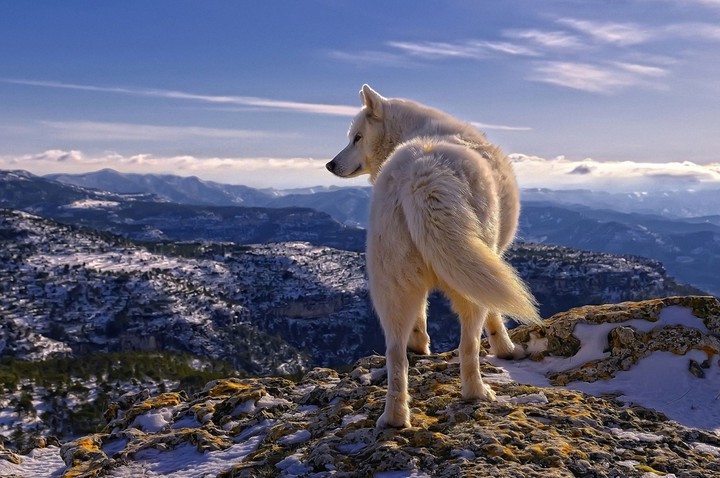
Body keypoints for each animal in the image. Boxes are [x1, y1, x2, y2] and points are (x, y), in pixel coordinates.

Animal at [326, 85, 541, 428]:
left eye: (357, 137)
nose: (330, 165)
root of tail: (422, 174)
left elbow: (421, 315)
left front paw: (420, 344)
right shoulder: (491, 258)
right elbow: (496, 315)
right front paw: (506, 349)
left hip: (392, 284)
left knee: (395, 353)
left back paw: (395, 417)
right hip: (468, 280)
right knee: (468, 345)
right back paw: (477, 393)